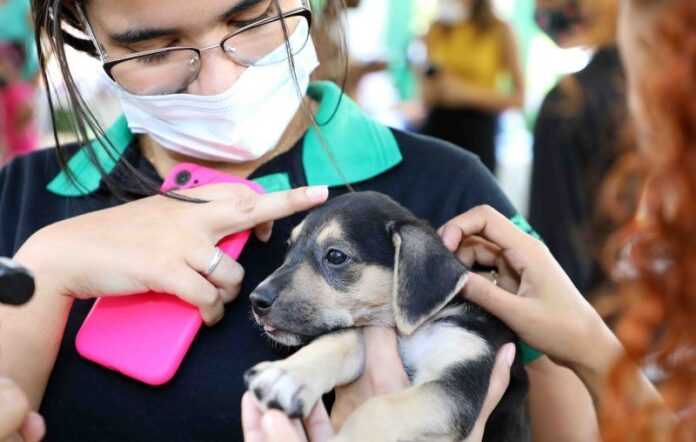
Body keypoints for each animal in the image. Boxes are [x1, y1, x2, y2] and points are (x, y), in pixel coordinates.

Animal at [243, 192, 528, 440]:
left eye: (335, 255)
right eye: (289, 248)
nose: (256, 300)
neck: (409, 329)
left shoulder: (459, 380)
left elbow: (381, 408)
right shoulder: (365, 332)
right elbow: (337, 341)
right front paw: (287, 374)